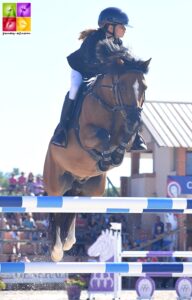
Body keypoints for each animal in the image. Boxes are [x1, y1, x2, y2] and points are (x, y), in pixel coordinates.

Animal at [43, 38, 152, 262]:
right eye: (123, 86)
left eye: (144, 87)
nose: (135, 121)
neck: (112, 106)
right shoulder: (86, 135)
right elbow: (104, 138)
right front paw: (107, 156)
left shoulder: (126, 135)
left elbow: (125, 141)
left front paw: (115, 155)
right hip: (55, 181)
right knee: (54, 206)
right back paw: (57, 248)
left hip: (91, 188)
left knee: (73, 204)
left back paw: (68, 241)